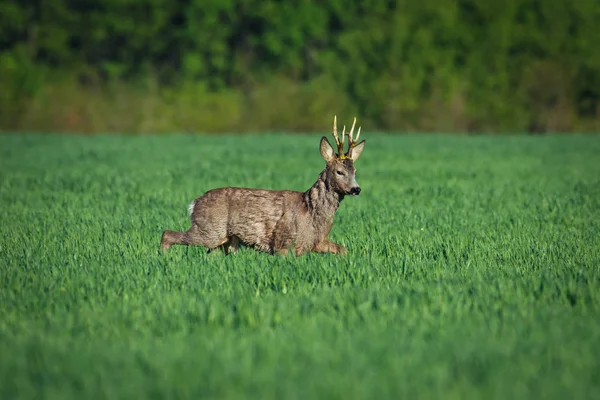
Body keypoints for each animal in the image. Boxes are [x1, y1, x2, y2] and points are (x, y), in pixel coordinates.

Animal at [159, 115, 366, 258]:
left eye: (355, 170)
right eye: (339, 171)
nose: (356, 189)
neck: (311, 212)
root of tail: (194, 203)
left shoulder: (317, 242)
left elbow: (343, 249)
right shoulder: (284, 240)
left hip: (225, 240)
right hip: (209, 230)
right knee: (167, 234)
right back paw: (164, 259)